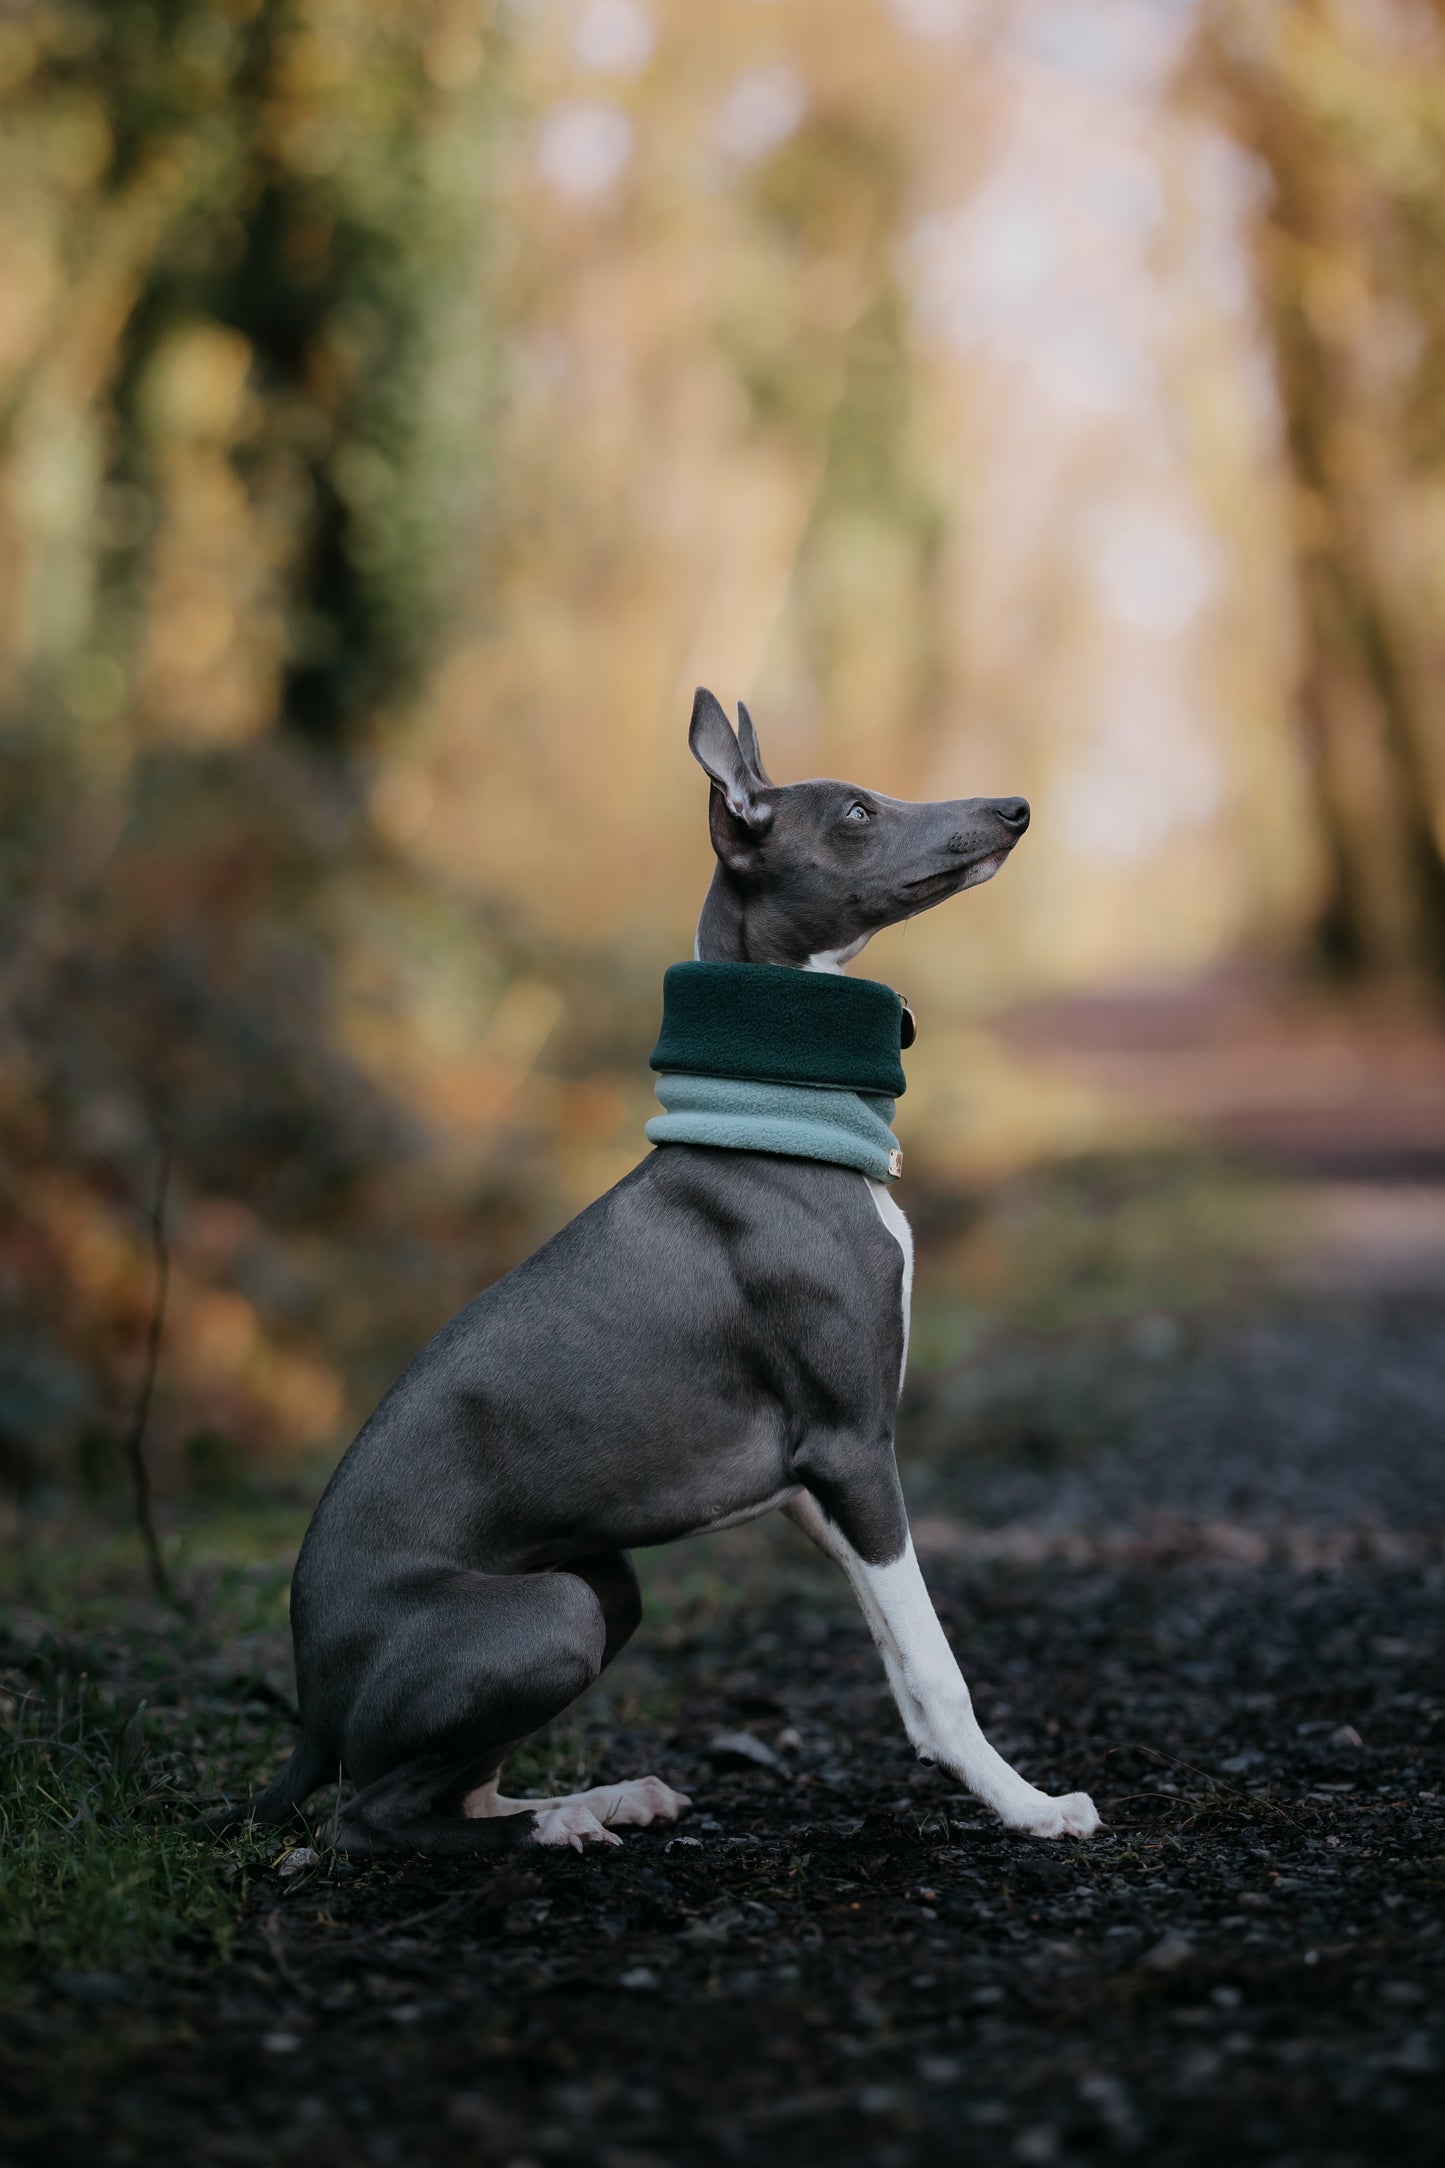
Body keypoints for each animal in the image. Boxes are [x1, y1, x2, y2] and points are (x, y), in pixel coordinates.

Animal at [254, 689, 1100, 1847]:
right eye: (855, 811)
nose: (1012, 809)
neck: (777, 1130)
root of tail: (309, 1706)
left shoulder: (813, 1485)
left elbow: (900, 1660)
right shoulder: (851, 1447)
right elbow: (935, 1661)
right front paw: (1028, 1803)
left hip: (602, 1582)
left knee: (458, 1783)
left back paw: (602, 1796)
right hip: (554, 1609)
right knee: (376, 1816)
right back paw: (558, 1826)